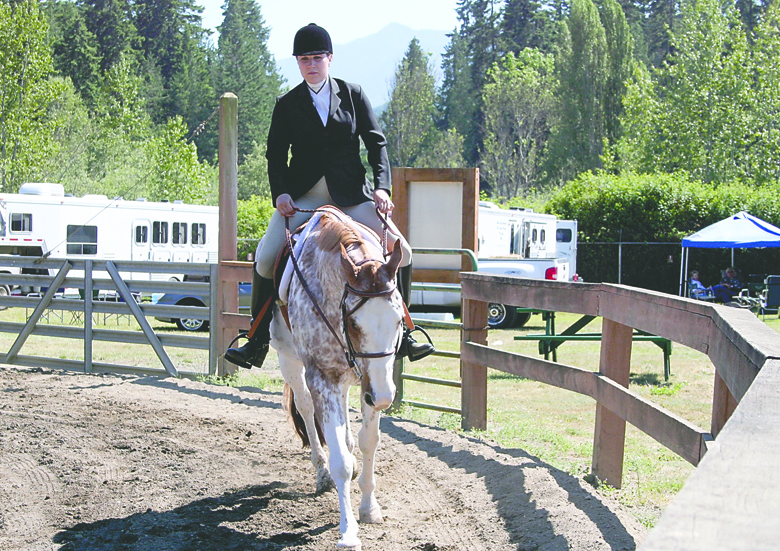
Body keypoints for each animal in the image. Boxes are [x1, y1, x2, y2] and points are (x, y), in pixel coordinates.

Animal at [270, 209, 405, 550]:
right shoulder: (324, 379)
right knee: (306, 410)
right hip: (291, 364)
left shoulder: (371, 381)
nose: (385, 398)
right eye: (355, 324)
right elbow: (340, 460)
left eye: (399, 319)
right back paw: (321, 474)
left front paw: (369, 508)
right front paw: (348, 531)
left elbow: (368, 441)